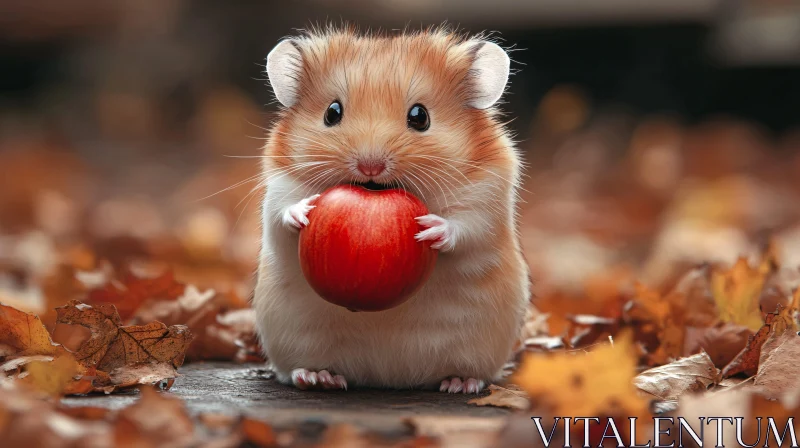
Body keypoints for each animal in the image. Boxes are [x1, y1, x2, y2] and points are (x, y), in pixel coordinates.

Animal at [255, 26, 532, 394]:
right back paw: (318, 378)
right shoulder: (278, 183)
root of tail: (389, 377)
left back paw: (460, 384)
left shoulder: (488, 196)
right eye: (332, 112)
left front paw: (431, 228)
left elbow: (467, 226)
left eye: (420, 117)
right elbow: (281, 211)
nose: (370, 167)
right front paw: (304, 212)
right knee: (301, 369)